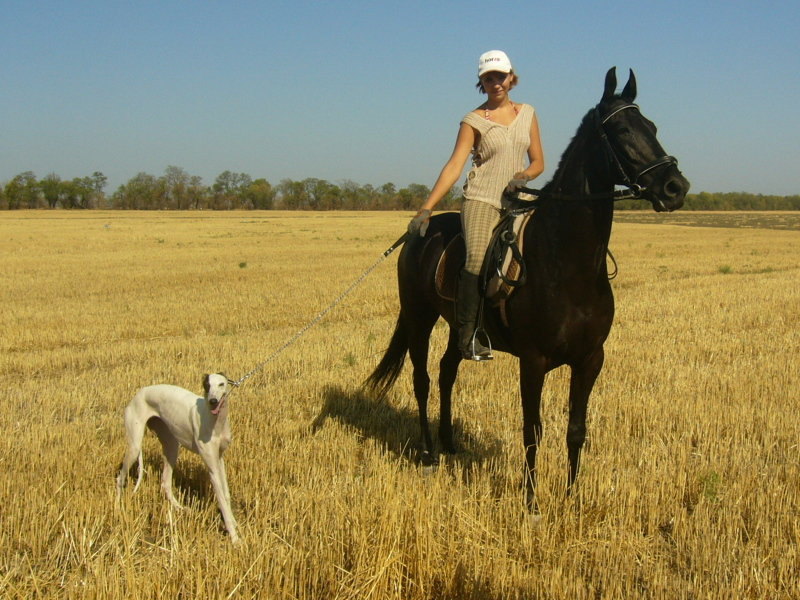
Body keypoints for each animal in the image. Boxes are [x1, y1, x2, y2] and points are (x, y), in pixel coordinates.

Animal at [115, 376, 239, 544]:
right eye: (207, 385)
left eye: (221, 384)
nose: (213, 401)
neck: (214, 420)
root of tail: (139, 393)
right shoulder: (212, 467)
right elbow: (222, 500)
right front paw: (235, 538)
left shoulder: (219, 459)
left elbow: (226, 495)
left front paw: (234, 523)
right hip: (134, 446)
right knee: (120, 477)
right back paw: (117, 507)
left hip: (172, 445)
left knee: (165, 482)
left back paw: (181, 508)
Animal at [366, 69, 692, 510]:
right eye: (623, 129)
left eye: (652, 127)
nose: (676, 187)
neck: (566, 262)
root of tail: (422, 228)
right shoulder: (533, 361)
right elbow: (532, 429)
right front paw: (532, 503)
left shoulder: (591, 359)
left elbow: (576, 428)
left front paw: (572, 498)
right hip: (420, 317)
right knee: (422, 381)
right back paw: (430, 454)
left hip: (456, 326)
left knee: (448, 371)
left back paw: (450, 445)